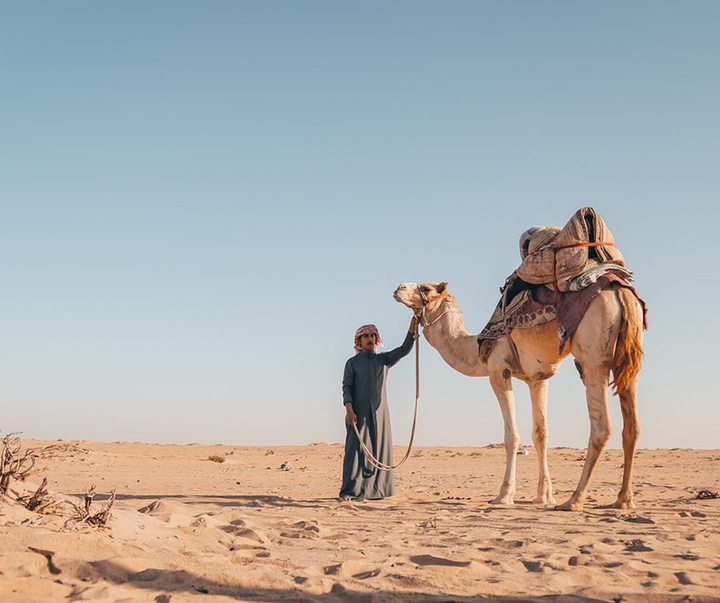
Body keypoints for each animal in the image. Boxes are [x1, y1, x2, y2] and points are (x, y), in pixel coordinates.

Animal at [394, 280, 648, 512]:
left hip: (594, 355)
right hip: (629, 359)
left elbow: (512, 436)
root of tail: (621, 294)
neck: (475, 347)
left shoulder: (498, 370)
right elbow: (541, 434)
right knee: (632, 426)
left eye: (426, 288)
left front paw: (504, 495)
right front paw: (544, 496)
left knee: (602, 427)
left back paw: (574, 500)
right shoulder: (537, 379)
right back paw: (623, 500)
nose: (398, 289)